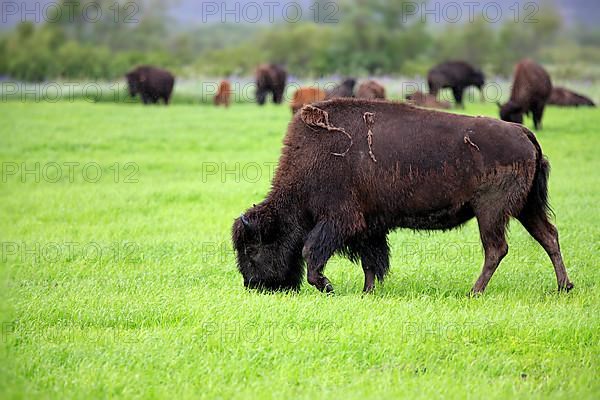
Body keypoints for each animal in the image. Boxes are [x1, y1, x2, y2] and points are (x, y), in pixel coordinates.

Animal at [232, 98, 576, 296]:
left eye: (252, 248)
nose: (253, 286)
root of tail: (523, 132)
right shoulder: (368, 226)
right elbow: (371, 261)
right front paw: (367, 292)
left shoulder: (339, 220)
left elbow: (311, 251)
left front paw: (328, 287)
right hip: (526, 208)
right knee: (549, 236)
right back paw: (563, 287)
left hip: (491, 212)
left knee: (496, 249)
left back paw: (474, 292)